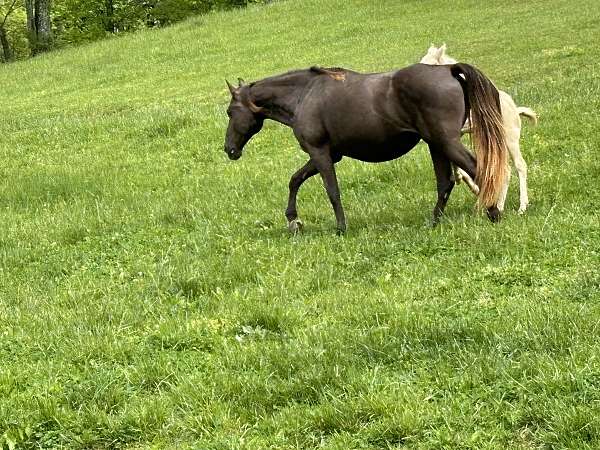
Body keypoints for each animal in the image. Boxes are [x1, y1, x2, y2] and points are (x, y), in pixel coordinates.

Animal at [224, 63, 506, 234]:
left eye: (229, 112)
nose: (229, 149)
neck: (304, 94)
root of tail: (448, 70)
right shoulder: (329, 155)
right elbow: (295, 180)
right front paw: (293, 220)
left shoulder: (320, 153)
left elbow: (332, 191)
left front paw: (340, 228)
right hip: (436, 145)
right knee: (445, 183)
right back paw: (434, 221)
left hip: (446, 142)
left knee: (479, 170)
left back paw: (493, 213)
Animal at [420, 44, 536, 214]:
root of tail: (515, 109)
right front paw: (465, 181)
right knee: (504, 169)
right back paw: (495, 204)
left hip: (509, 139)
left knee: (519, 166)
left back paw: (520, 207)